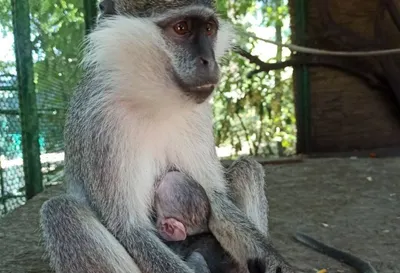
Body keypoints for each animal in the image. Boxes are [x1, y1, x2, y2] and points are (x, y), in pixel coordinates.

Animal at [40, 0, 296, 272]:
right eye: (181, 28)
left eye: (208, 28)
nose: (209, 61)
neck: (155, 101)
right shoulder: (102, 123)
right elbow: (130, 229)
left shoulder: (198, 114)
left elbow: (215, 199)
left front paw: (278, 263)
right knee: (61, 211)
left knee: (248, 167)